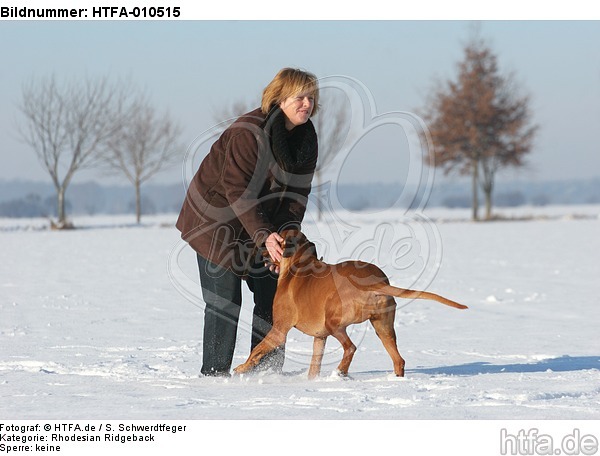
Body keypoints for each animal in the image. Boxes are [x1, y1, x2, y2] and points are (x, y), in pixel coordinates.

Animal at [234, 230, 468, 380]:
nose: (262, 251)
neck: (298, 265)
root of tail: (375, 282)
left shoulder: (279, 330)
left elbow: (257, 351)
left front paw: (241, 369)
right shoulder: (320, 337)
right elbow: (313, 365)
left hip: (335, 322)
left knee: (351, 347)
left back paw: (341, 373)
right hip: (383, 327)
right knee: (398, 360)